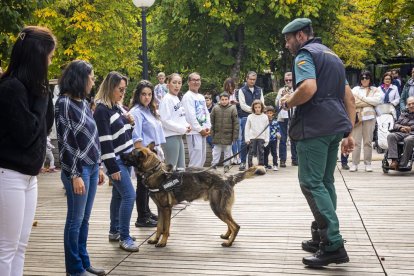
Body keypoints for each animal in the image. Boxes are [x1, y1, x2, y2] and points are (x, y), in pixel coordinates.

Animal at [121, 147, 266, 248]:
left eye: (131, 153)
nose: (120, 154)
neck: (154, 171)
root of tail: (228, 177)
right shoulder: (161, 209)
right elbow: (159, 227)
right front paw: (155, 239)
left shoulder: (166, 209)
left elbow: (165, 229)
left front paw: (162, 242)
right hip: (222, 209)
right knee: (231, 224)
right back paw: (226, 236)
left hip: (218, 208)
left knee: (236, 226)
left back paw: (229, 243)